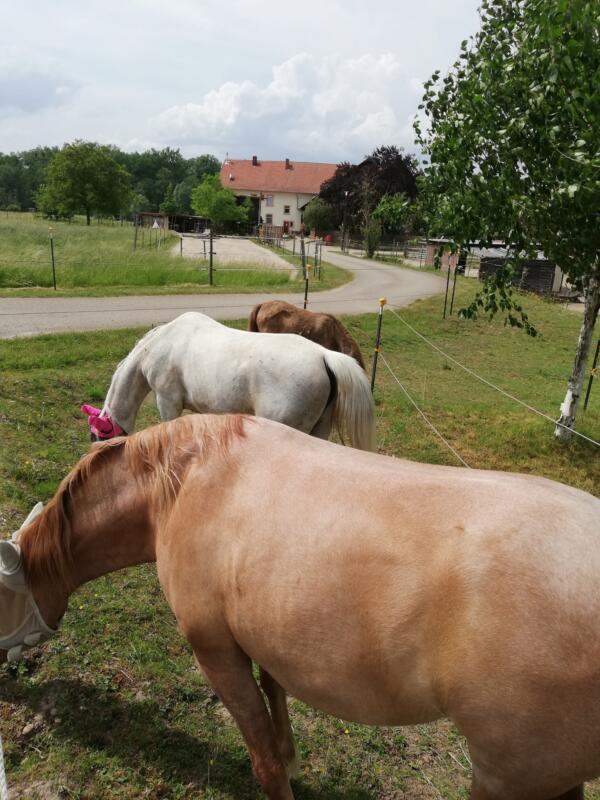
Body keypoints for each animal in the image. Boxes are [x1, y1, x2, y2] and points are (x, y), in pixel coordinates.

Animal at [2, 413, 599, 800]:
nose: (12, 687)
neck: (184, 484)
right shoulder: (265, 633)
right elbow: (276, 694)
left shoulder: (216, 652)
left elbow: (265, 760)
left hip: (508, 778)